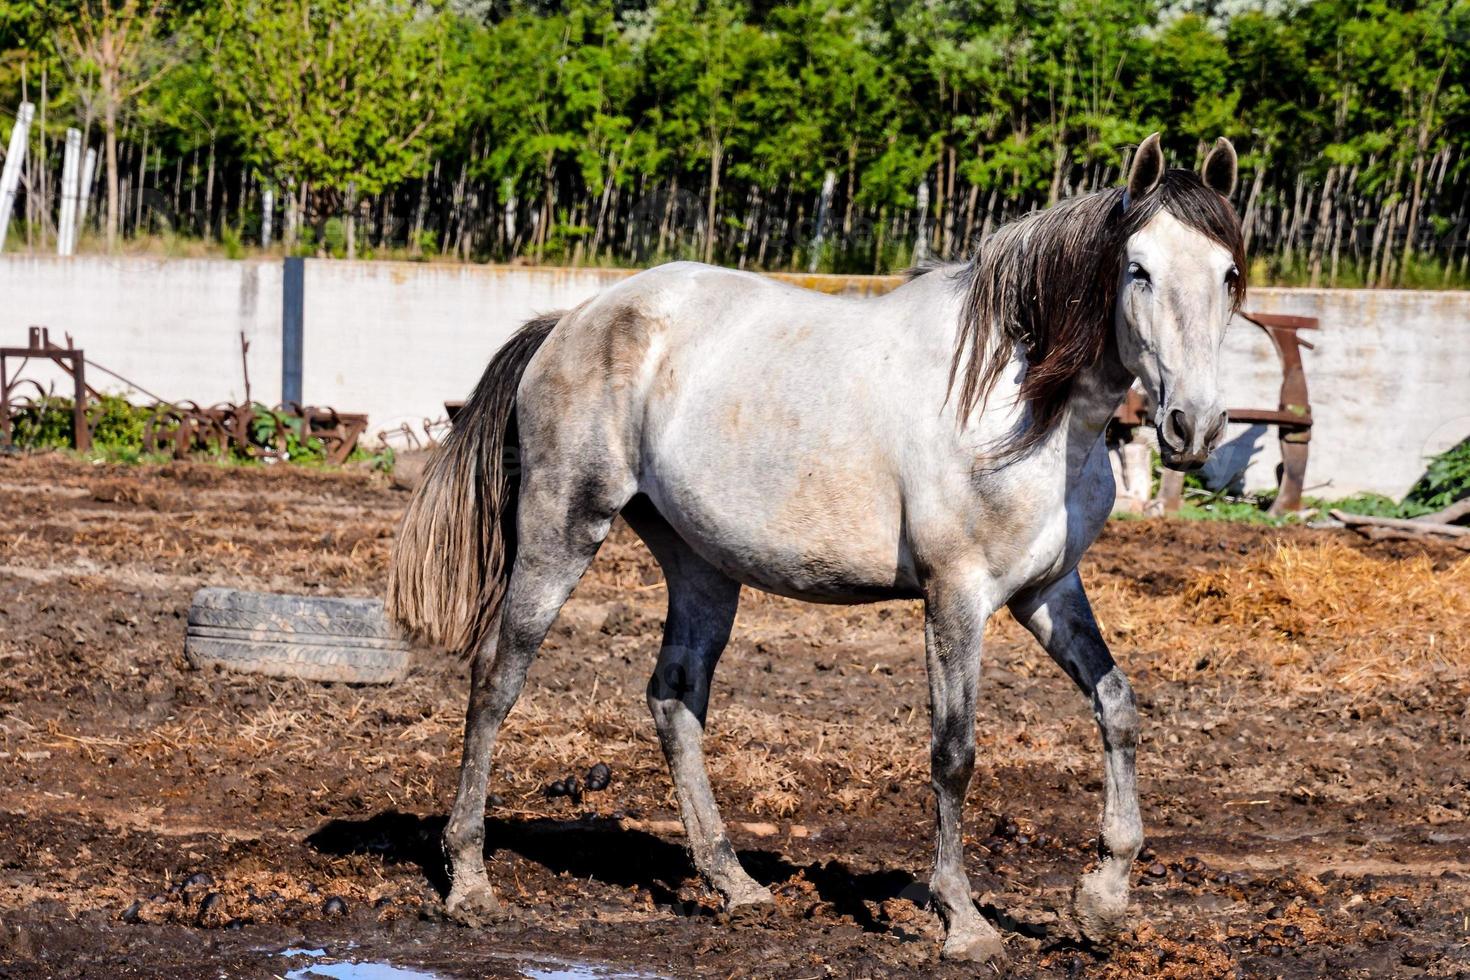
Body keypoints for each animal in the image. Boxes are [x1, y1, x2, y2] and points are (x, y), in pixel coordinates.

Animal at [388, 132, 1240, 963]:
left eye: (1230, 273)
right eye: (1138, 269)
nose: (1193, 425)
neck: (1018, 401)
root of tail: (572, 320)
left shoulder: (1048, 592)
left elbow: (1117, 705)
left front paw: (1103, 901)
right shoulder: (956, 595)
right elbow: (954, 752)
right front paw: (964, 923)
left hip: (700, 565)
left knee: (673, 700)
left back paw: (733, 883)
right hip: (562, 526)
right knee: (497, 679)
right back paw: (470, 882)